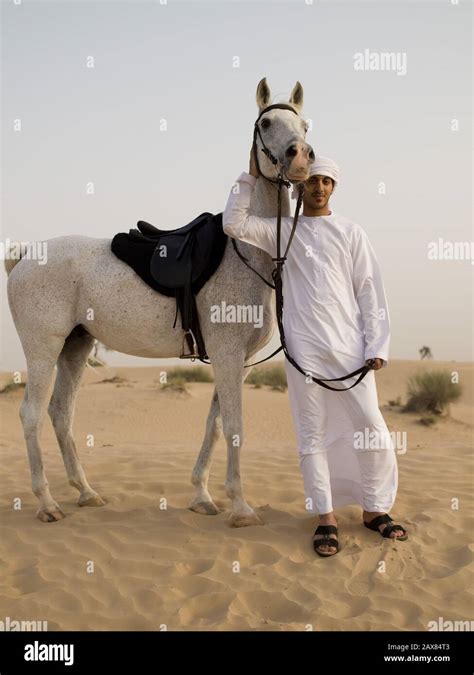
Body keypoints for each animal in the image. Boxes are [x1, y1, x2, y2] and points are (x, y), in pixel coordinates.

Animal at [5, 78, 314, 524]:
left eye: (305, 125)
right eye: (267, 123)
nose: (301, 157)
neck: (245, 249)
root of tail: (25, 257)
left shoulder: (236, 360)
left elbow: (214, 424)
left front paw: (203, 495)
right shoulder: (227, 354)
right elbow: (235, 426)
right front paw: (241, 507)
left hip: (75, 346)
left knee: (60, 413)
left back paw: (86, 492)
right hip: (43, 348)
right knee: (31, 414)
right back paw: (46, 503)